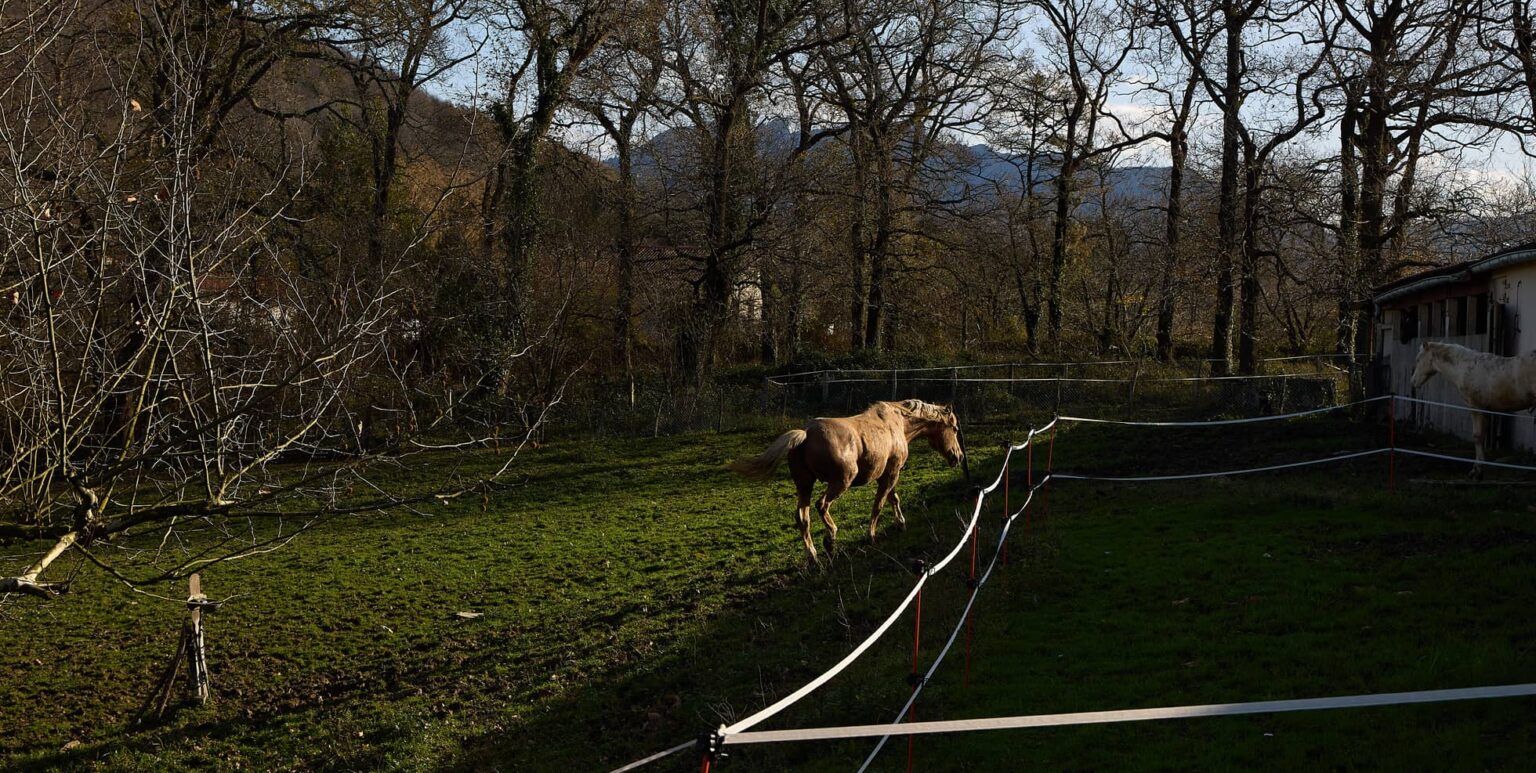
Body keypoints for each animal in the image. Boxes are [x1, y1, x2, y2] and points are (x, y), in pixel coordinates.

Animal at [728, 399, 965, 562]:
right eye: (954, 428)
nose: (958, 457)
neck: (897, 423)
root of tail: (805, 433)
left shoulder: (889, 474)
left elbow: (893, 499)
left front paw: (901, 523)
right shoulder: (891, 474)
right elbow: (879, 505)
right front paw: (872, 536)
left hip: (805, 485)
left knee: (802, 517)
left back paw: (813, 556)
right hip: (841, 482)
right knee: (821, 505)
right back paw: (830, 539)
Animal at [1410, 341, 1536, 478]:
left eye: (1418, 359)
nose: (1413, 382)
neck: (1464, 368)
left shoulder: (1475, 407)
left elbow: (1477, 436)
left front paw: (1477, 471)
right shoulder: (1485, 410)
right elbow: (1481, 436)